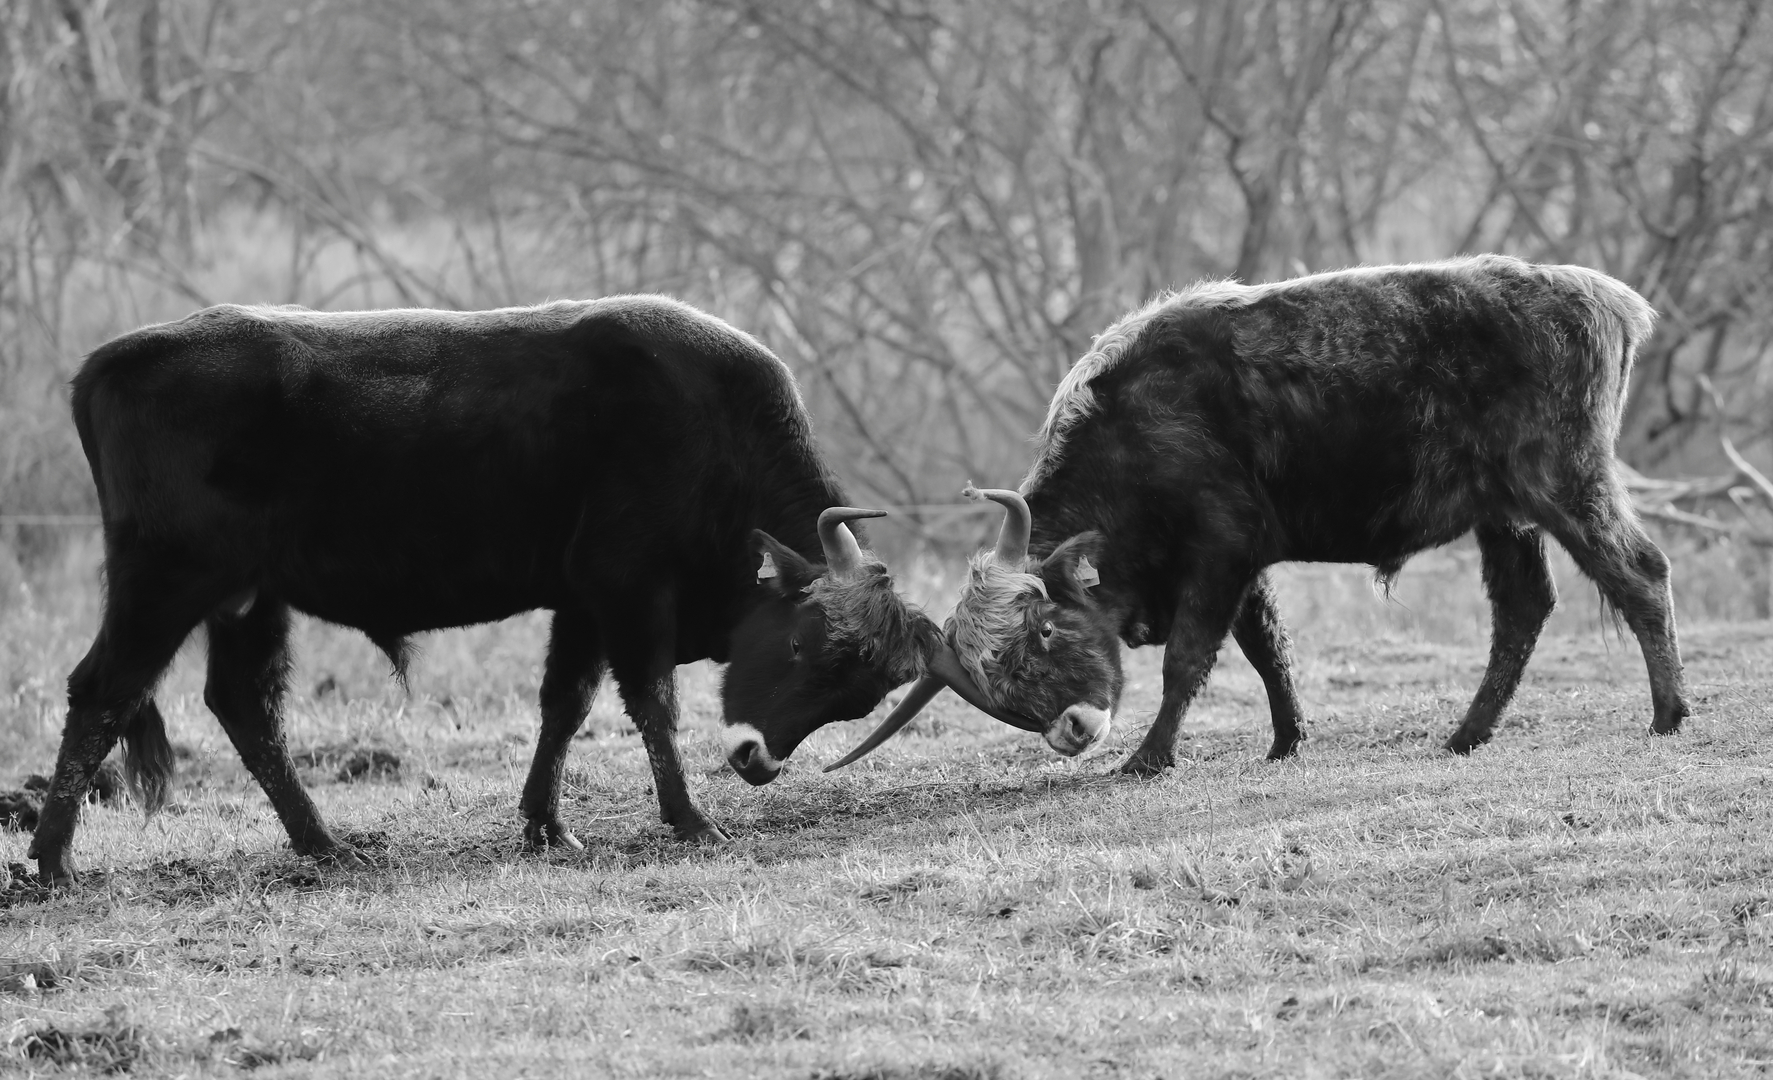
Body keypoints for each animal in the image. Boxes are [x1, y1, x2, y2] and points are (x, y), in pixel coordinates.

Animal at [31, 294, 943, 883]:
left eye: (857, 692)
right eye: (803, 644)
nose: (757, 762)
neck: (704, 421)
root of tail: (110, 361)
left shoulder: (580, 604)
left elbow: (564, 705)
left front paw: (546, 825)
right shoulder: (629, 591)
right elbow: (651, 703)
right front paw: (690, 819)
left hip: (248, 602)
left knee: (244, 707)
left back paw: (324, 844)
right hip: (164, 586)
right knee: (102, 693)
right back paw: (53, 861)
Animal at [826, 255, 1687, 773]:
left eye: (1041, 631)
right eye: (992, 692)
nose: (1071, 730)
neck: (1134, 423)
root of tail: (1594, 291)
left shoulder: (1219, 549)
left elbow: (1189, 660)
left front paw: (1149, 756)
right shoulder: (1242, 560)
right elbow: (1266, 650)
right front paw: (1285, 741)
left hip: (1564, 484)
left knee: (1639, 574)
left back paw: (1668, 715)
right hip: (1503, 513)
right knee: (1521, 610)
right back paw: (1466, 734)